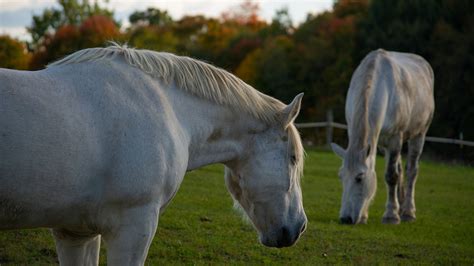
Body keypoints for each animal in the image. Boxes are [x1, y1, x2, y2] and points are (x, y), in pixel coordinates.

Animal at [332, 48, 436, 223]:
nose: (345, 219)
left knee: (412, 171)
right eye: (341, 176)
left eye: (359, 178)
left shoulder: (395, 139)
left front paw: (391, 215)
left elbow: (391, 176)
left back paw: (407, 212)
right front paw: (365, 215)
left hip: (419, 134)